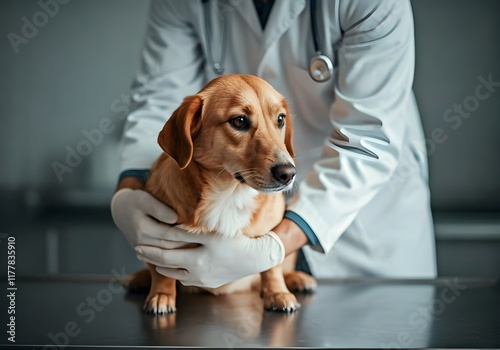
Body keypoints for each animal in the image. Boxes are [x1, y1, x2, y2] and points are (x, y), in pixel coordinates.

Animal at [129, 74, 316, 314]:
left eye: (280, 119)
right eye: (239, 121)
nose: (288, 173)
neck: (229, 193)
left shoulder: (272, 234)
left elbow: (272, 266)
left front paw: (277, 293)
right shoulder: (157, 241)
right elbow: (161, 272)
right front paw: (162, 294)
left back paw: (297, 279)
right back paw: (140, 278)